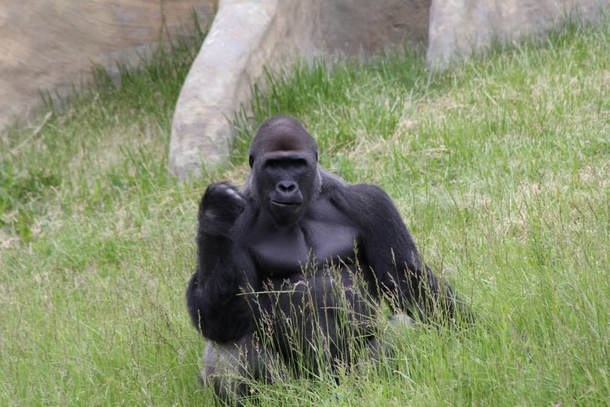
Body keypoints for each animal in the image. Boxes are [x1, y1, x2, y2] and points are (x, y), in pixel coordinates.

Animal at [183, 115, 468, 404]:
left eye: (296, 164)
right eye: (274, 166)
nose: (286, 187)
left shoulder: (369, 202)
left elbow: (406, 280)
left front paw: (467, 333)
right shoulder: (239, 226)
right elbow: (217, 320)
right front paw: (215, 216)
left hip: (346, 376)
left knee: (403, 328)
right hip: (298, 387)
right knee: (230, 344)